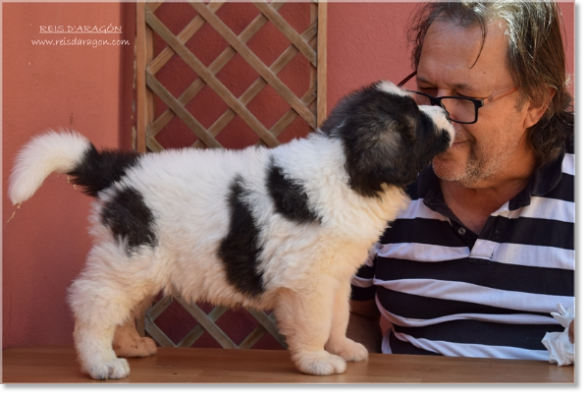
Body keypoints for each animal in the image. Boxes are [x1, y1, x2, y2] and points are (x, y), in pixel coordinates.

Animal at [9, 80, 454, 380]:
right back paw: (100, 362)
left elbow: (339, 316)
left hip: (142, 265)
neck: (345, 169)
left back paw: (131, 345)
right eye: (418, 122)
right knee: (95, 303)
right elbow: (315, 322)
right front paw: (317, 360)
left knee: (120, 307)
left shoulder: (336, 275)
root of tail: (120, 169)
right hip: (132, 258)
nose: (448, 115)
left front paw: (342, 347)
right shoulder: (306, 282)